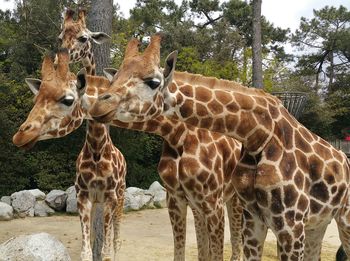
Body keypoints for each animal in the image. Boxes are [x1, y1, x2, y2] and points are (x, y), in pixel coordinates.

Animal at [88, 35, 350, 260]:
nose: (99, 106)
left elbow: (215, 253)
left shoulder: (286, 223)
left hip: (339, 219)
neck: (259, 136)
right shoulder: (186, 199)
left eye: (153, 82)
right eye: (114, 79)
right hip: (316, 223)